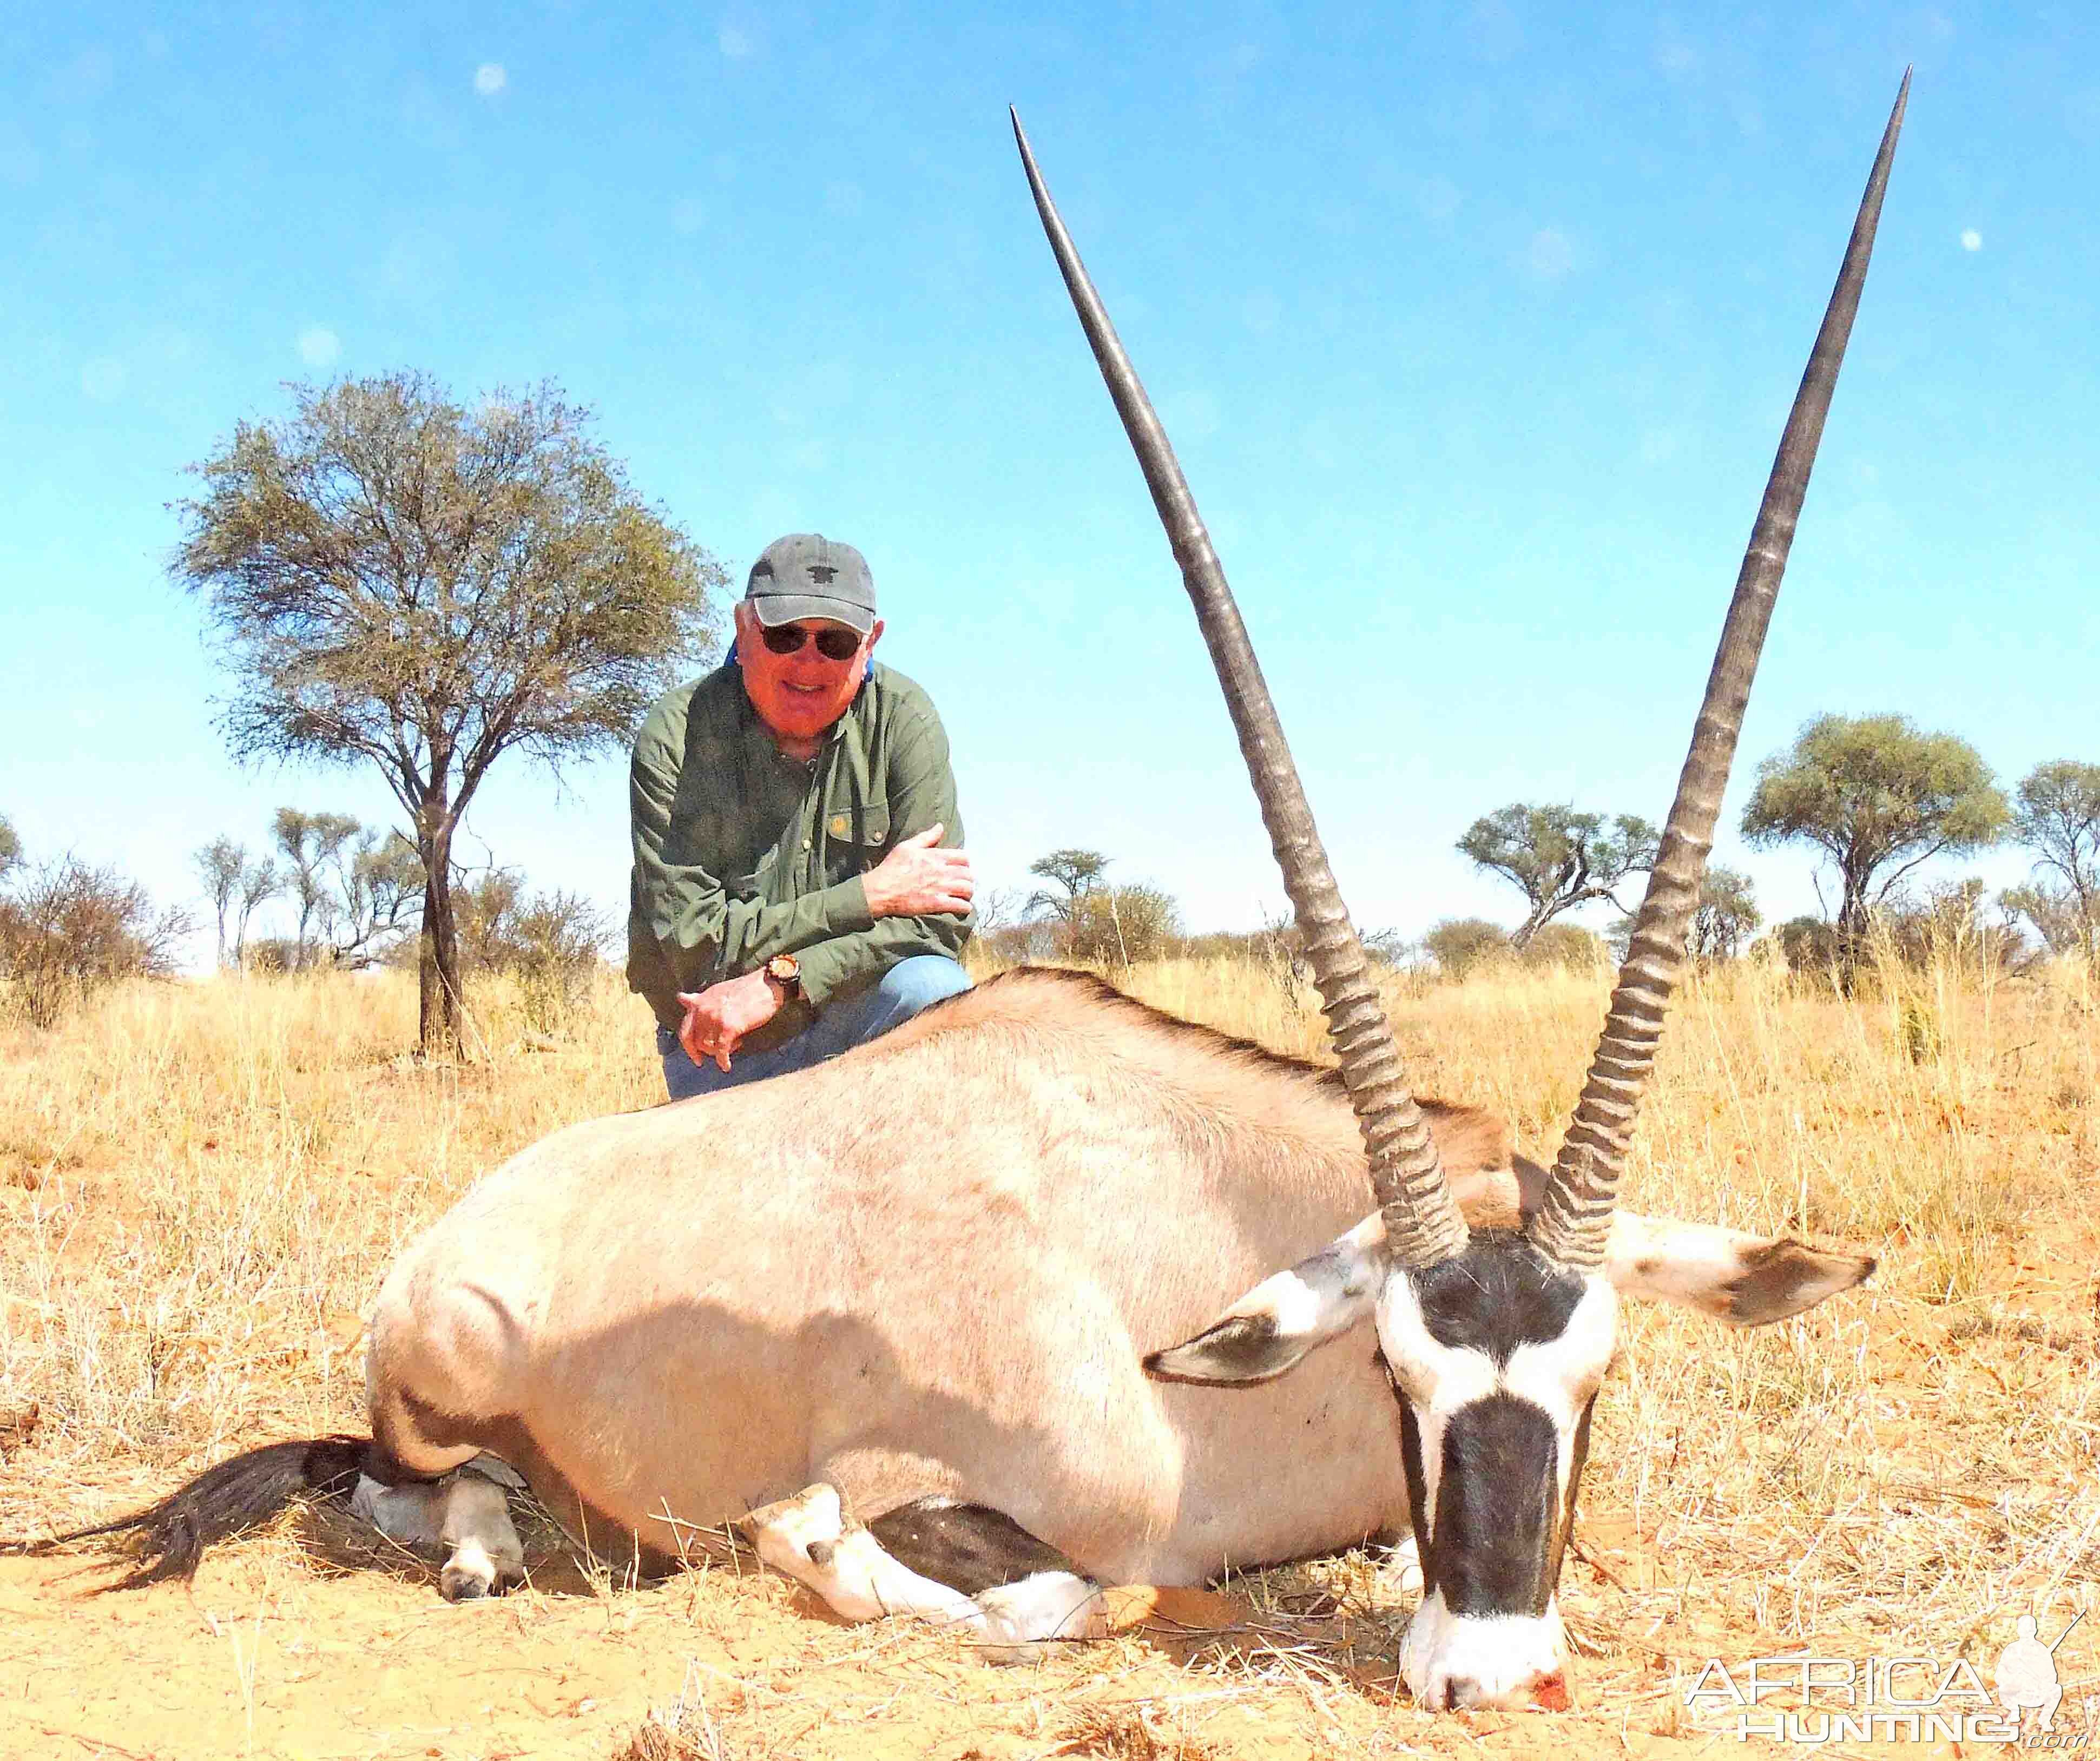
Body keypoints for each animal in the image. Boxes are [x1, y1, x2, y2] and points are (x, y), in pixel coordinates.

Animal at [16, 75, 1915, 1712]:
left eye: (1597, 1373)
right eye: (1397, 1369)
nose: (1492, 1673)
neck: (1171, 1252)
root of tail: (461, 1222)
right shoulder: (942, 1478)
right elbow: (1066, 1585)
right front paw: (802, 1547)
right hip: (440, 1385)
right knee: (400, 1479)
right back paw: (491, 1542)